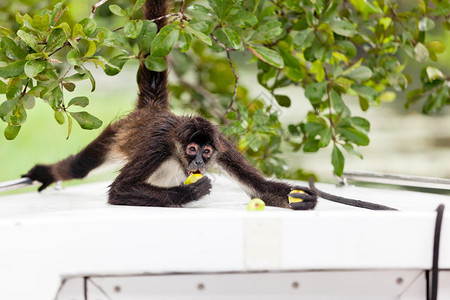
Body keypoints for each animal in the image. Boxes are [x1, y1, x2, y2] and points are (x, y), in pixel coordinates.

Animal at [22, 0, 316, 210]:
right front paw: (187, 193)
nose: (198, 161)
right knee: (79, 168)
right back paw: (47, 174)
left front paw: (303, 199)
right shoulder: (156, 148)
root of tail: (153, 110)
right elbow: (119, 190)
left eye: (206, 152)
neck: (177, 153)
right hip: (119, 130)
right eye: (192, 149)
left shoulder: (223, 147)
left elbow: (262, 188)